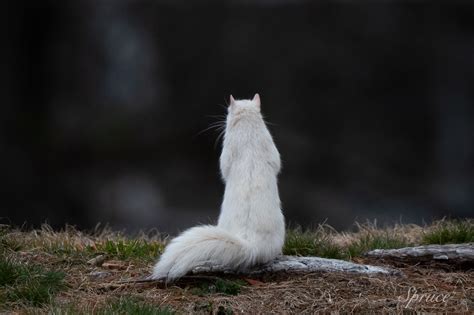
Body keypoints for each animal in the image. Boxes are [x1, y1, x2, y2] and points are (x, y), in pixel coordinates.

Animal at [153, 94, 286, 282]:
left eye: (228, 111)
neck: (247, 126)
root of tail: (252, 245)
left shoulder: (229, 149)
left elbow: (225, 167)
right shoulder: (269, 146)